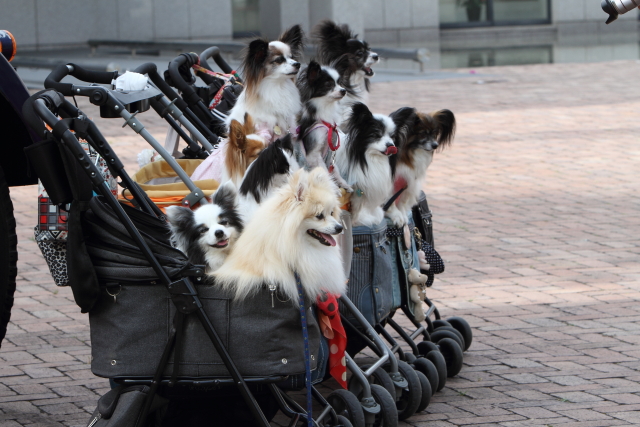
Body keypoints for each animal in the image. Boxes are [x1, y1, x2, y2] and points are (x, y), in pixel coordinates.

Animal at [296, 58, 354, 191]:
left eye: (340, 83)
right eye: (328, 84)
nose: (343, 90)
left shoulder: (330, 155)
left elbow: (334, 169)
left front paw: (343, 184)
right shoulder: (313, 154)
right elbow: (324, 171)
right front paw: (333, 188)